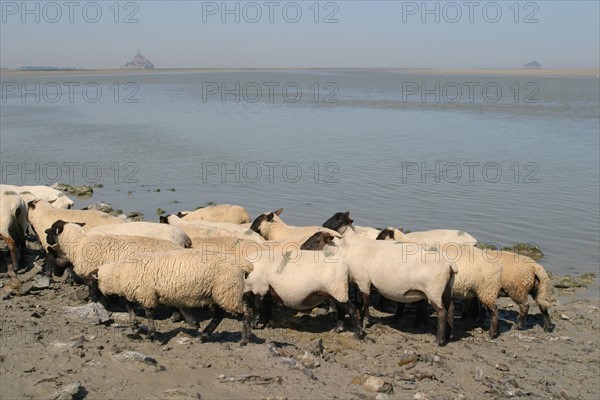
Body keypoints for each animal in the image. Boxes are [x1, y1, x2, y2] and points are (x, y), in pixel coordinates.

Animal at [95, 250, 253, 344]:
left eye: (95, 282)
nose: (97, 300)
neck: (121, 273)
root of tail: (242, 266)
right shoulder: (139, 293)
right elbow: (130, 306)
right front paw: (135, 325)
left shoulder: (147, 294)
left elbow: (149, 313)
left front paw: (150, 334)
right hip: (220, 292)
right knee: (219, 315)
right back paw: (204, 335)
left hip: (228, 290)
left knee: (246, 312)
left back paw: (244, 339)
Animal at [302, 230, 458, 346]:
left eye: (316, 240)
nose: (301, 248)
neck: (346, 252)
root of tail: (450, 265)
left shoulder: (363, 280)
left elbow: (365, 301)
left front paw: (365, 321)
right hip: (446, 289)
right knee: (451, 308)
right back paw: (448, 336)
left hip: (434, 290)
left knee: (442, 312)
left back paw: (439, 340)